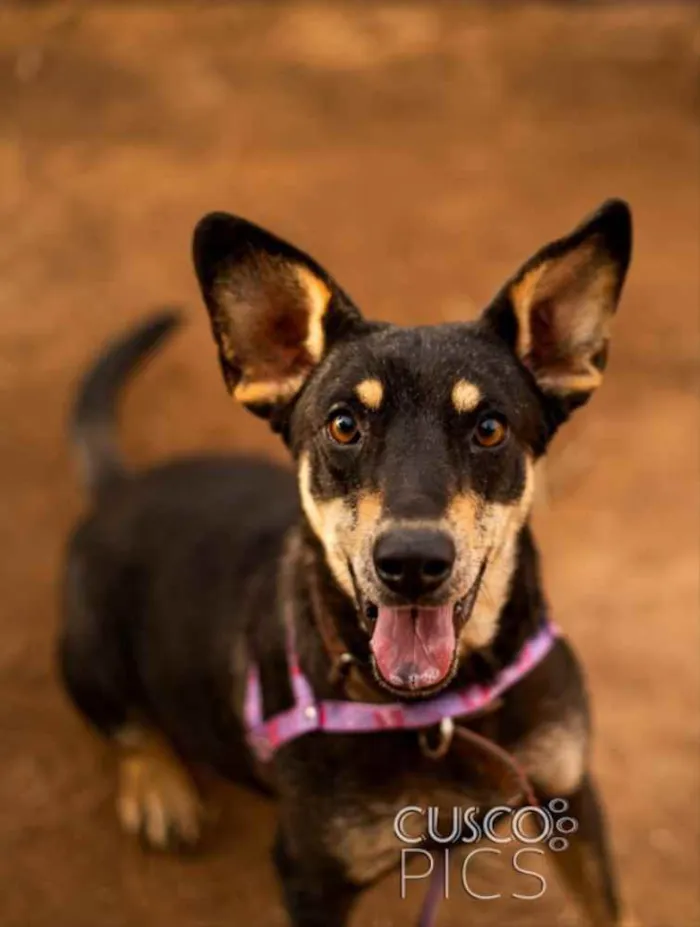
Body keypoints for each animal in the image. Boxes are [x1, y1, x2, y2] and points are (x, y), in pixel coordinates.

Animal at [60, 199, 636, 924]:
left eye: (489, 428)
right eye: (343, 424)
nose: (412, 562)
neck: (442, 712)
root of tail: (121, 487)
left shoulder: (572, 796)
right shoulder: (312, 874)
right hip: (87, 651)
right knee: (128, 725)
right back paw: (161, 790)